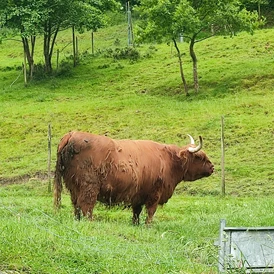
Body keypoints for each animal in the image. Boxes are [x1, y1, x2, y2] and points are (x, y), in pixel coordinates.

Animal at [53, 131, 212, 225]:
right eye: (199, 157)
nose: (212, 167)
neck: (169, 161)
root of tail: (72, 134)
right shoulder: (155, 193)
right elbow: (150, 211)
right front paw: (148, 225)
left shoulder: (139, 195)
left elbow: (137, 212)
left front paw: (136, 224)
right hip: (89, 186)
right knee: (86, 205)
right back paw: (90, 222)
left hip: (74, 186)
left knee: (76, 205)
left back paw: (77, 220)